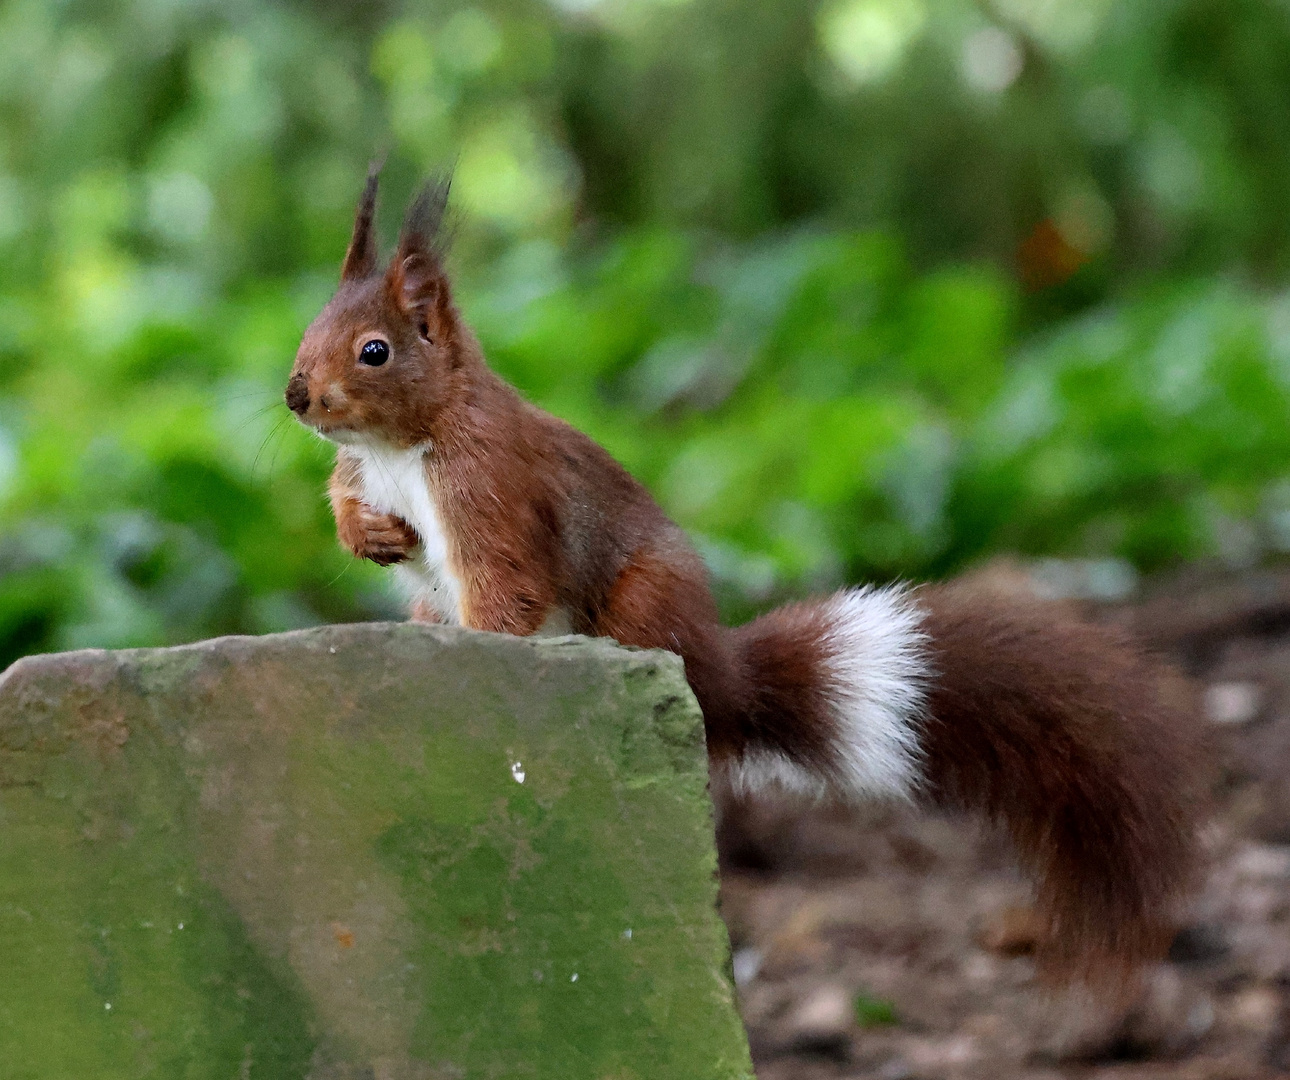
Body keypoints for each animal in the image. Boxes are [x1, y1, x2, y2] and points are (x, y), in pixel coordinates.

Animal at [285, 170, 1207, 985]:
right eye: (307, 330)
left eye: (374, 351)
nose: (295, 395)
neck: (402, 444)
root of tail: (717, 671)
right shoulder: (366, 475)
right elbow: (343, 500)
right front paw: (369, 534)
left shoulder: (489, 491)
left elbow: (504, 587)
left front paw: (480, 657)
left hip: (641, 606)